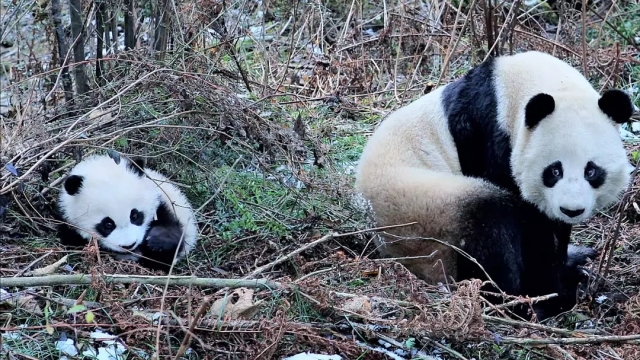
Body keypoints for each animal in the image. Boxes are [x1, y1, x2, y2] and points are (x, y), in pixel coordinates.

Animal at [56, 150, 199, 272]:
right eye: (108, 224)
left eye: (135, 216)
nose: (129, 245)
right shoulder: (67, 222)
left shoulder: (163, 204)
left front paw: (156, 242)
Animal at [356, 50, 636, 318]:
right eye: (554, 170)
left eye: (592, 170)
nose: (572, 210)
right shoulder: (490, 138)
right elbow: (529, 226)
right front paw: (551, 292)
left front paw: (564, 264)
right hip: (422, 212)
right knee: (488, 225)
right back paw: (515, 303)